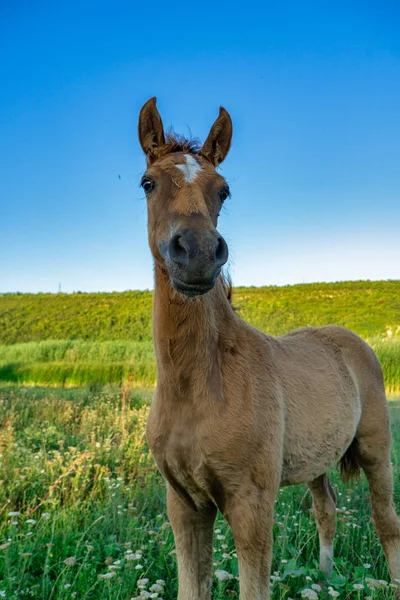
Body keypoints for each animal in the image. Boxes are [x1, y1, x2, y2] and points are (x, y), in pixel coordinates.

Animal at [138, 96, 400, 596]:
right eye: (148, 183)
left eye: (223, 191)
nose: (197, 253)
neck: (202, 385)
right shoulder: (183, 504)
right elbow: (191, 585)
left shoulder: (252, 504)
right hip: (317, 460)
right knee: (326, 507)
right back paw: (325, 578)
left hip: (376, 447)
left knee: (386, 519)